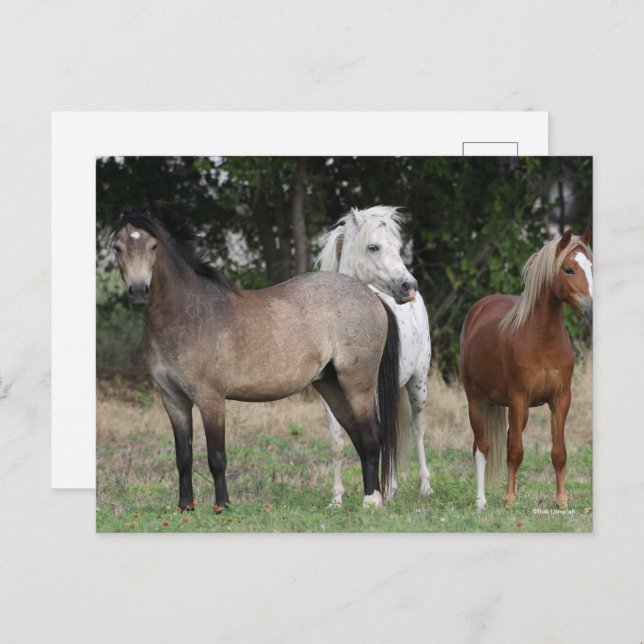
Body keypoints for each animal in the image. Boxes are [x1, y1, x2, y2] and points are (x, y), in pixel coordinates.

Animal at [109, 202, 402, 511]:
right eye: (118, 248)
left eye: (153, 246)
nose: (139, 291)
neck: (188, 316)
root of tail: (372, 296)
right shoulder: (173, 401)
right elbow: (183, 458)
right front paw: (185, 507)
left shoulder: (210, 399)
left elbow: (217, 457)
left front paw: (222, 507)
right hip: (331, 385)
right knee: (358, 436)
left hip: (358, 384)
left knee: (371, 436)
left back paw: (371, 502)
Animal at [316, 206, 432, 506]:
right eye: (373, 247)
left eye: (399, 247)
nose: (408, 286)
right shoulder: (330, 398)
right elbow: (337, 442)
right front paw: (337, 497)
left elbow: (376, 436)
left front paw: (374, 495)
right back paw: (391, 487)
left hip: (418, 385)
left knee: (417, 429)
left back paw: (422, 485)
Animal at [460, 229, 592, 510]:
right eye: (568, 269)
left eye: (590, 266)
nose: (590, 308)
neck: (543, 341)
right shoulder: (518, 398)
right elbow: (515, 451)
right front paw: (509, 500)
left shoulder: (561, 399)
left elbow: (558, 452)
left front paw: (561, 500)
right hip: (476, 401)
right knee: (481, 447)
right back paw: (481, 501)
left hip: (522, 411)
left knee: (509, 438)